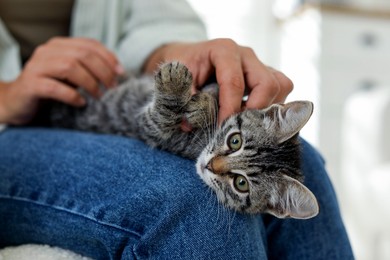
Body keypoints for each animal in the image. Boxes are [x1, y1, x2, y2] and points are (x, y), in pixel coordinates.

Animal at [49, 61, 316, 219]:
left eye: (241, 184)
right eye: (235, 141)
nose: (211, 165)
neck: (201, 141)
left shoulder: (154, 132)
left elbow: (160, 119)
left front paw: (175, 89)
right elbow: (213, 87)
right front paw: (203, 102)